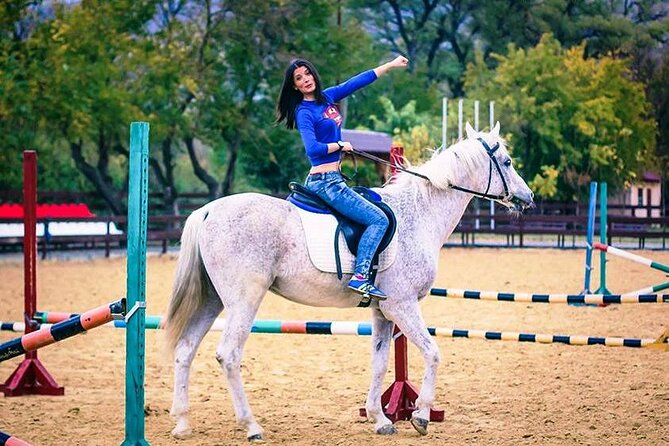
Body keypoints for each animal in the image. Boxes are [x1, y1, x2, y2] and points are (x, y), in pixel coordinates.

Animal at [164, 122, 534, 442]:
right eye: (507, 161)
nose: (528, 197)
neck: (419, 215)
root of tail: (206, 211)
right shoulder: (402, 305)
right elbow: (432, 353)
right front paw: (420, 416)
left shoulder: (383, 311)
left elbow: (379, 362)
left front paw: (380, 418)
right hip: (243, 301)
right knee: (228, 354)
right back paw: (251, 425)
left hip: (213, 300)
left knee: (185, 350)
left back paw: (182, 423)